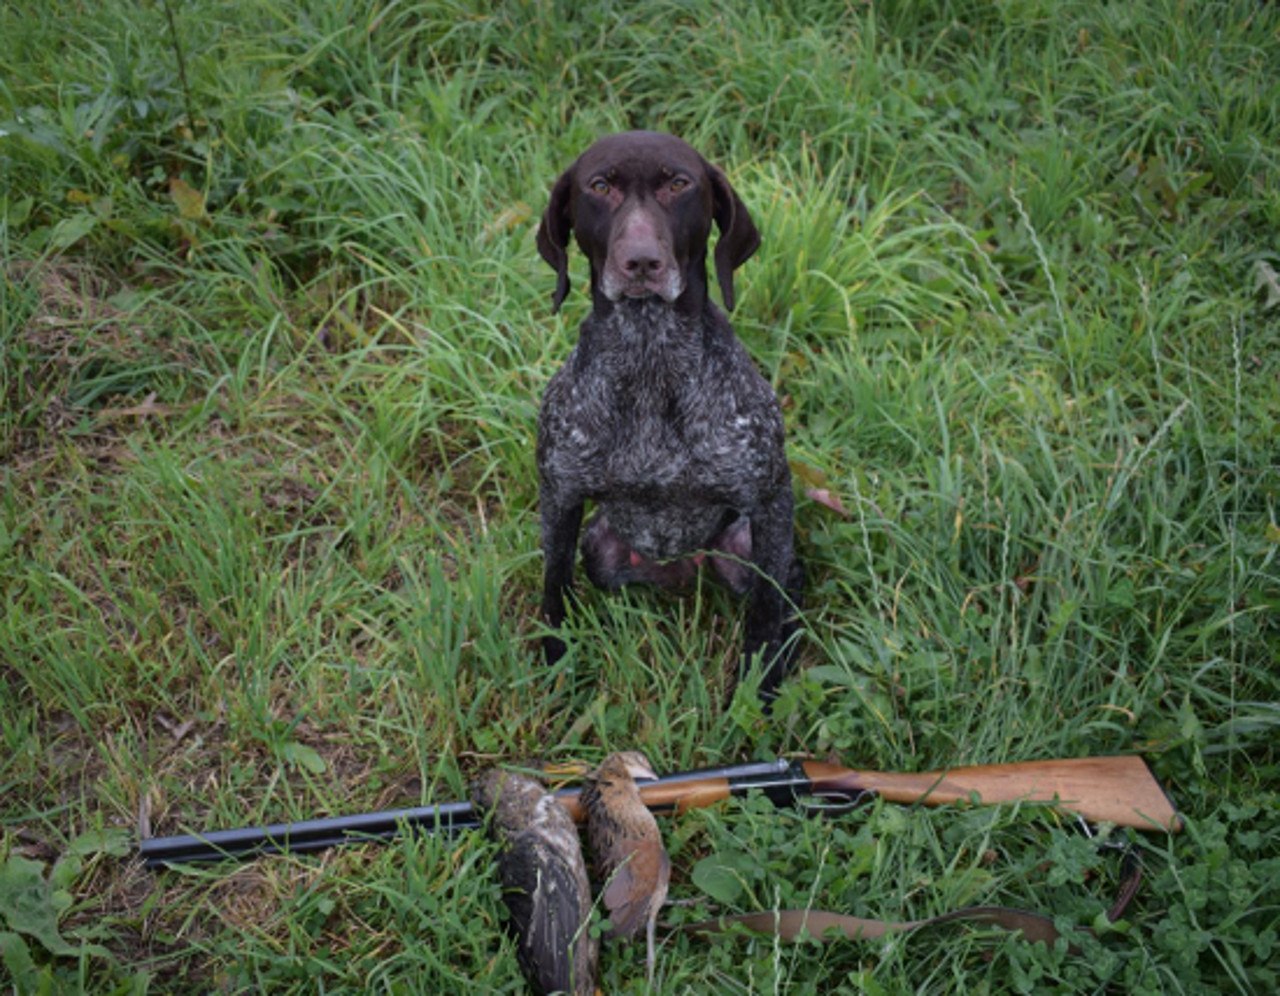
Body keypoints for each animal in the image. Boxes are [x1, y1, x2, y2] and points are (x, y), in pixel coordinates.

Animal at [532, 129, 798, 696]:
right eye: (600, 186)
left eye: (679, 184)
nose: (641, 263)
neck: (650, 351)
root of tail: (682, 569)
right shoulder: (559, 498)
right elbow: (553, 589)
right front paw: (557, 666)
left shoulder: (770, 500)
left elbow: (766, 609)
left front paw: (761, 686)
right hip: (601, 548)